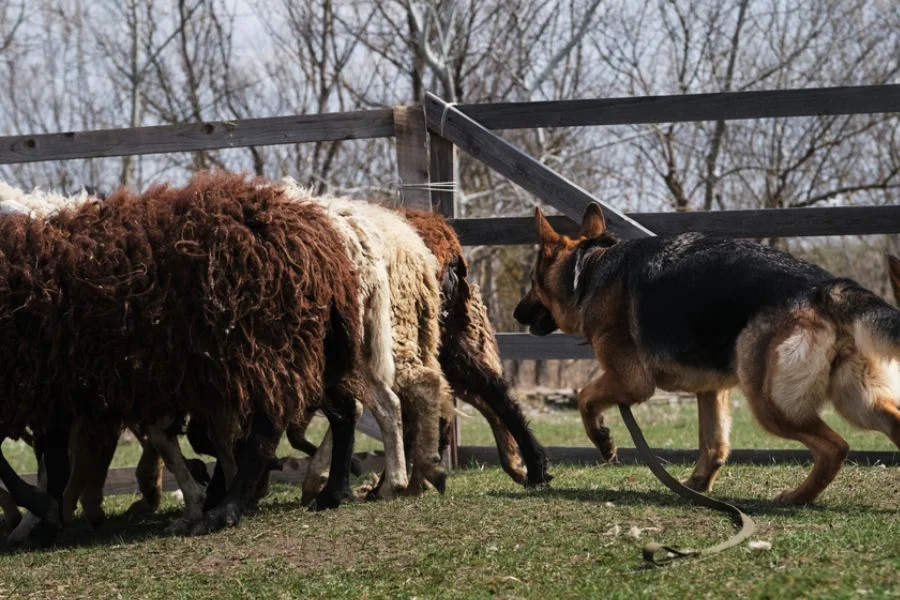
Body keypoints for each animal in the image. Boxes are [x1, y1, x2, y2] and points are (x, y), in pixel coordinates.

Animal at [512, 204, 900, 504]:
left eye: (531, 281)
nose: (516, 314)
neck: (591, 268)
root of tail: (826, 288)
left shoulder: (630, 382)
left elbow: (584, 397)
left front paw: (603, 441)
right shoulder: (711, 390)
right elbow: (714, 446)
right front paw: (697, 486)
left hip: (771, 404)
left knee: (834, 447)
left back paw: (796, 497)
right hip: (858, 400)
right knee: (885, 422)